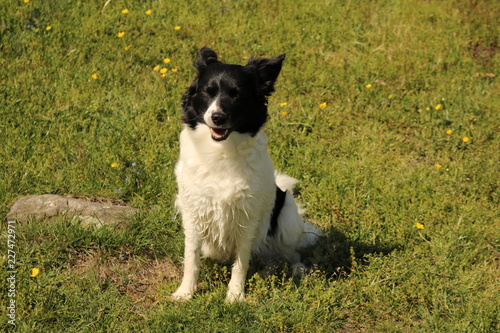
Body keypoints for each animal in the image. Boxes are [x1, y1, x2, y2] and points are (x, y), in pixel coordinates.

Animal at [171, 48, 320, 302]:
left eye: (236, 95)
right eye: (207, 92)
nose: (217, 117)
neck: (222, 151)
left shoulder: (247, 218)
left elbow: (241, 262)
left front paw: (235, 296)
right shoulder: (193, 212)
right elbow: (191, 257)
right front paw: (185, 293)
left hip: (287, 216)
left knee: (288, 252)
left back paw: (294, 269)